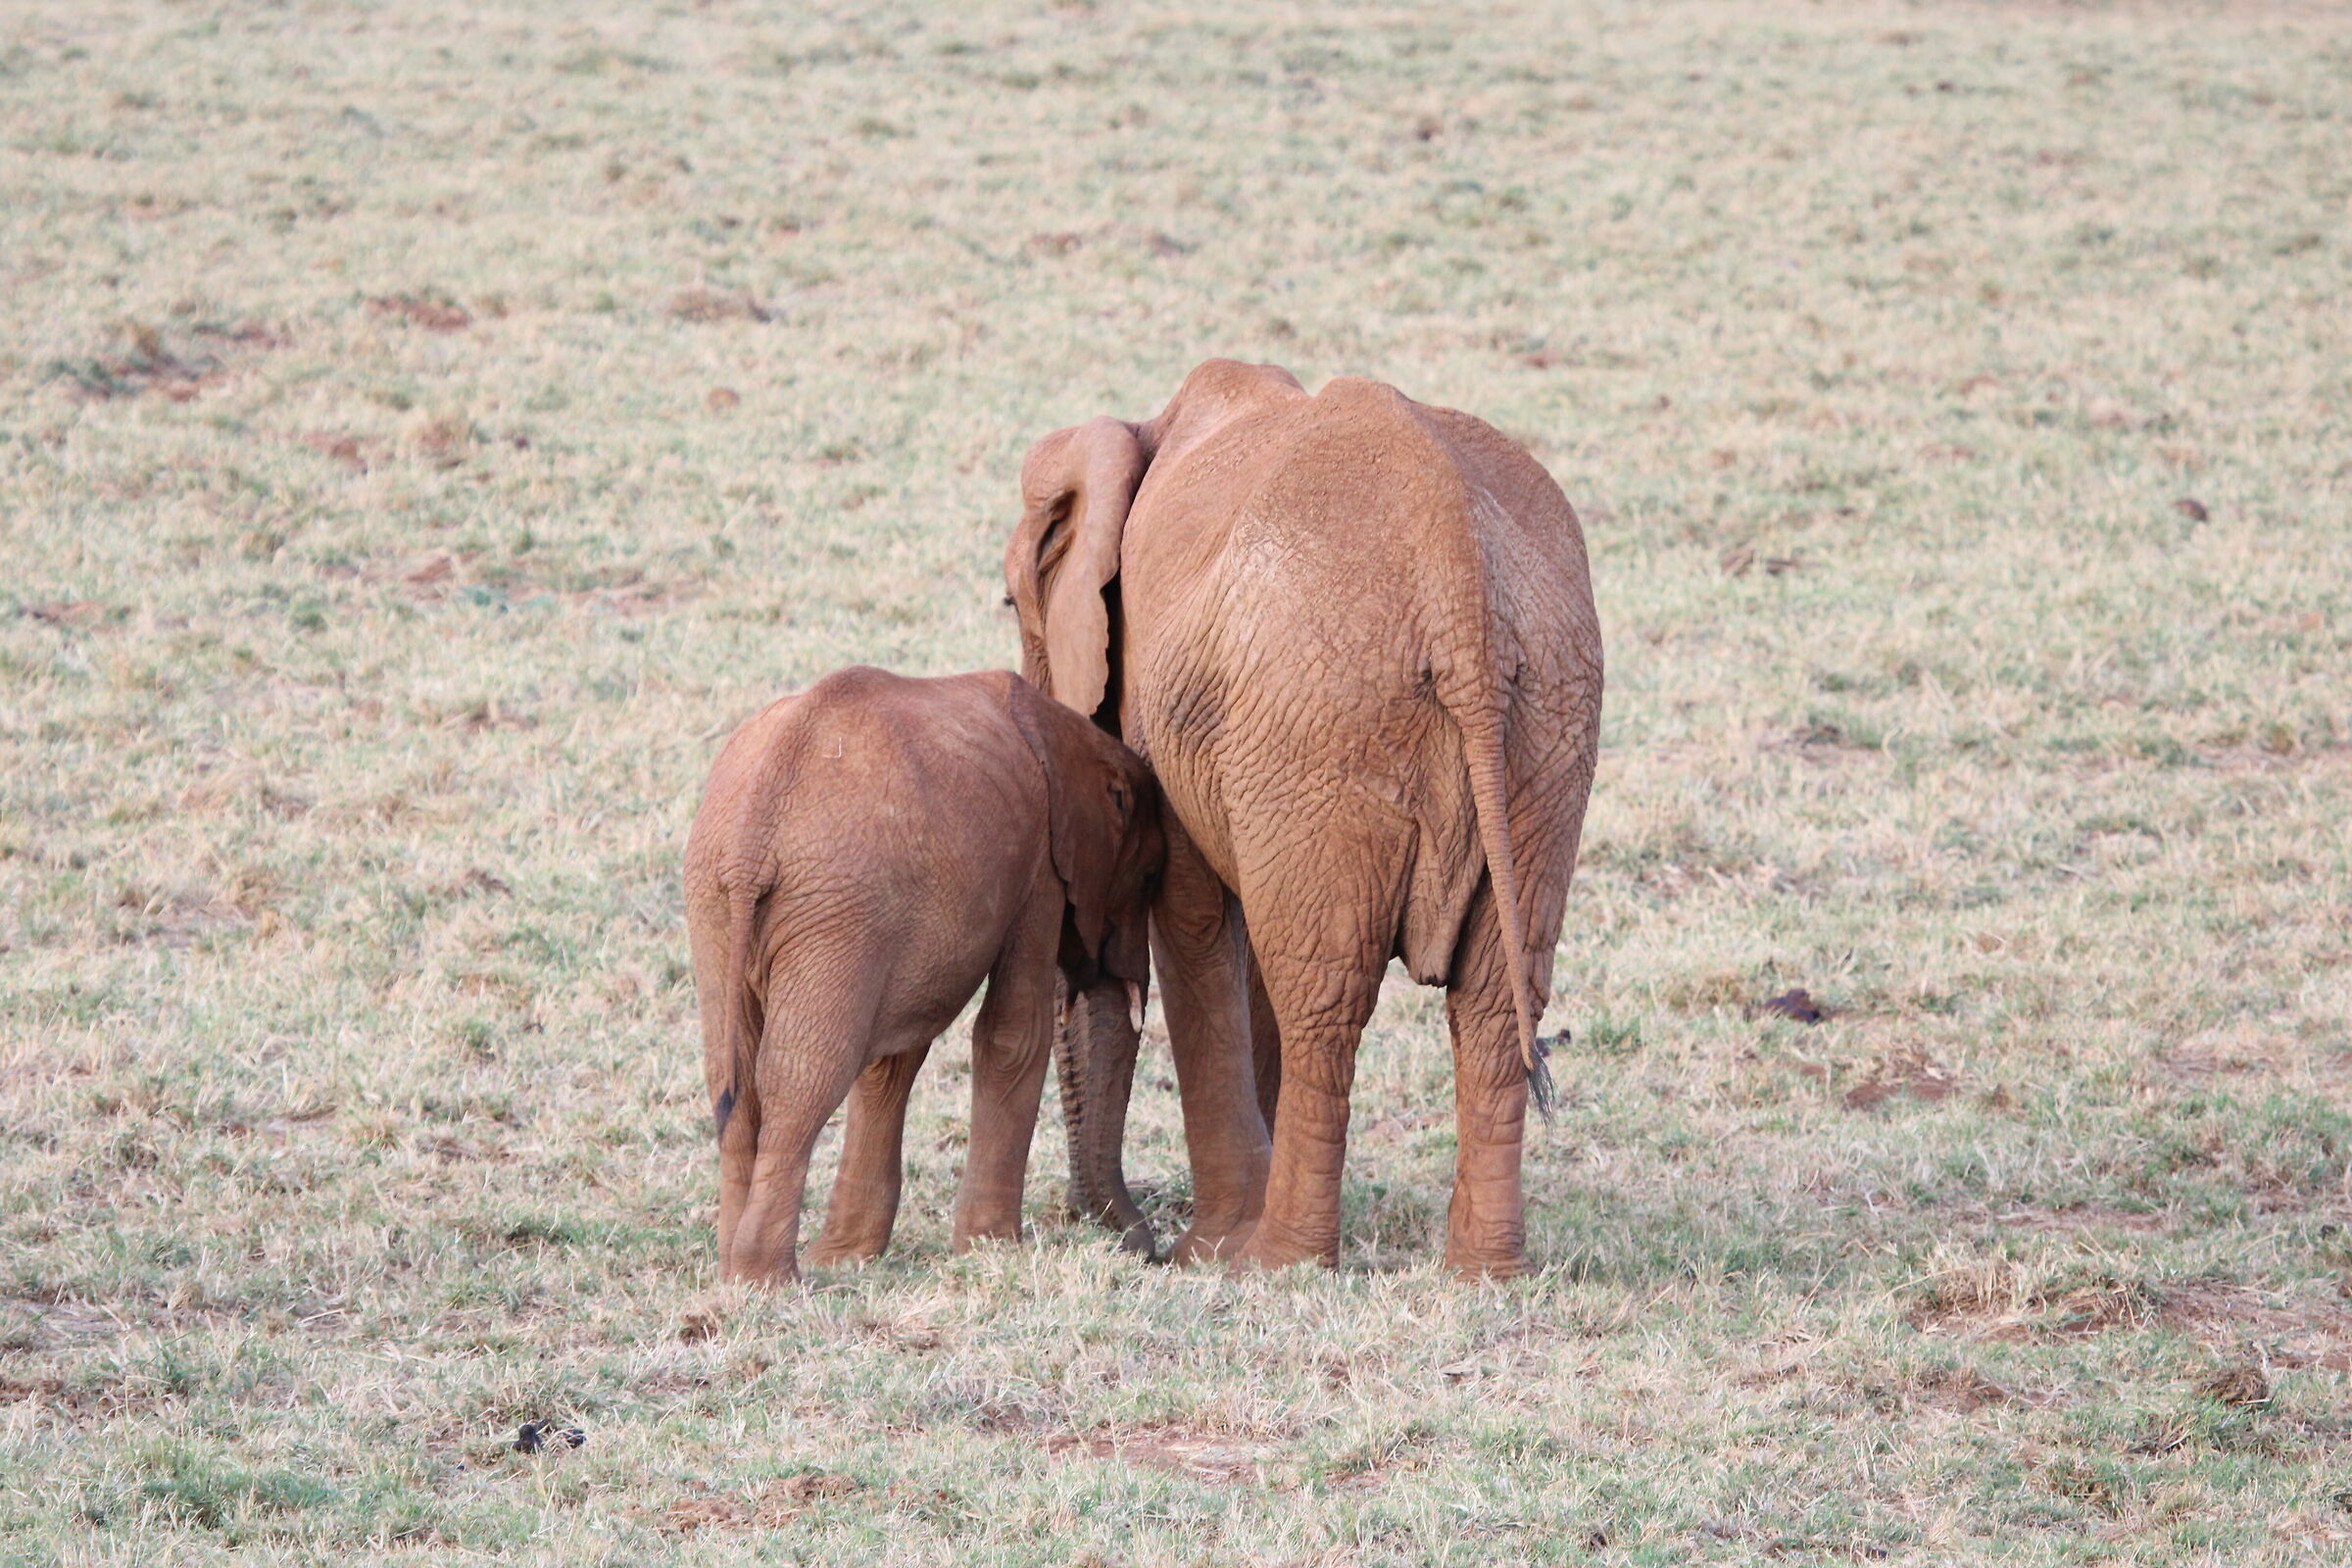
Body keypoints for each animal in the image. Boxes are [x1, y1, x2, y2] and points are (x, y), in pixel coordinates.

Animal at [683, 666, 1164, 1284]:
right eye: (1151, 878)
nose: (1147, 1250)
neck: (1068, 731)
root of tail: (752, 840)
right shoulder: (1037, 857)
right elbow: (1012, 1031)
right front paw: (991, 1251)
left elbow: (890, 1059)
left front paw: (847, 1259)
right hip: (836, 905)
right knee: (801, 1081)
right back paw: (766, 1281)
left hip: (722, 900)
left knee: (734, 1084)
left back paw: (732, 1275)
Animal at [1006, 360, 1602, 1278]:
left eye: (1010, 606)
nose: (1131, 1240)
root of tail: (1457, 579)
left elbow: (1195, 921)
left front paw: (1207, 1252)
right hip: (1542, 722)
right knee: (1494, 1003)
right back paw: (1483, 1273)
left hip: (1326, 718)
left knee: (1325, 1002)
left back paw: (1275, 1262)